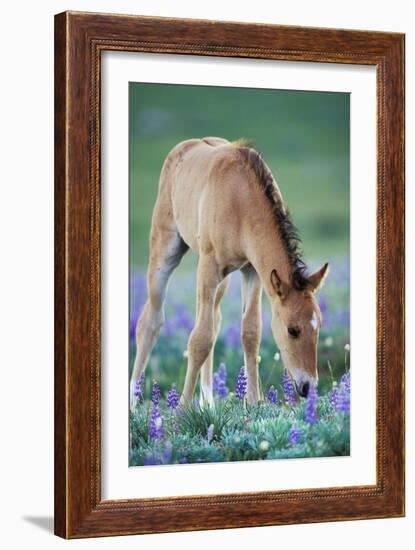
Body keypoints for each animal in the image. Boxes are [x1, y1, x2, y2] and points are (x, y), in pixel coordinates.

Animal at [130, 137, 328, 414]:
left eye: (318, 326)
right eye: (292, 330)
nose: (308, 387)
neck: (240, 198)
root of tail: (184, 146)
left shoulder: (252, 270)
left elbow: (250, 332)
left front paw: (254, 402)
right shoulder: (209, 265)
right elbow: (199, 338)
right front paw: (182, 408)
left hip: (223, 280)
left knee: (214, 320)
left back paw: (208, 402)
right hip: (166, 251)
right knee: (150, 321)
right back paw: (133, 401)